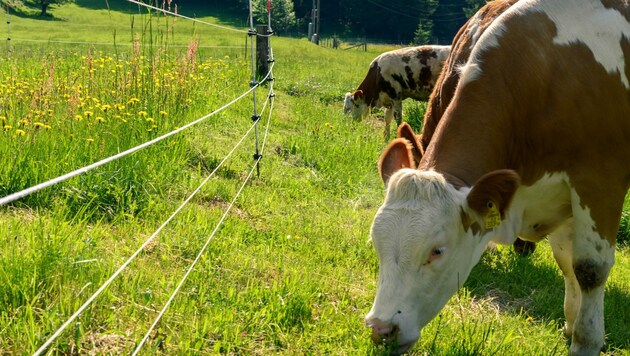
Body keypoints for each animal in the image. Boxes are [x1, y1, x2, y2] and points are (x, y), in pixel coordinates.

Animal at [366, 0, 630, 356]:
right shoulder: (560, 192)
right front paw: (571, 323)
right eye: (377, 242)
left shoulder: (600, 180)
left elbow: (590, 268)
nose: (381, 328)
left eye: (437, 251)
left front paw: (586, 340)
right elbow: (566, 258)